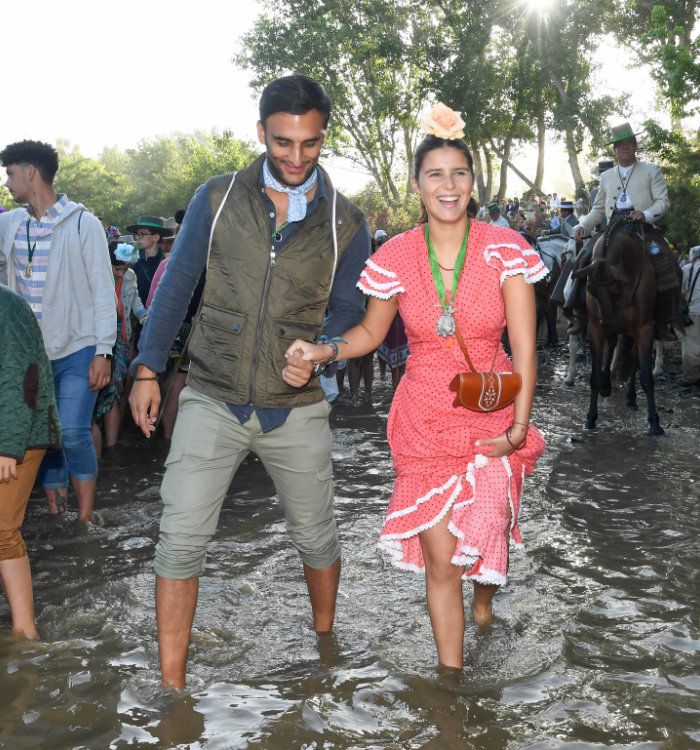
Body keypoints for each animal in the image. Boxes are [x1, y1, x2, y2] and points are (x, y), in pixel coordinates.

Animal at [572, 214, 664, 438]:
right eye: (590, 289)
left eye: (613, 285)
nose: (607, 320)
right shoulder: (595, 329)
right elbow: (595, 376)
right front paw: (590, 418)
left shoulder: (644, 329)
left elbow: (646, 376)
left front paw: (654, 423)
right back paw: (608, 385)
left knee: (634, 360)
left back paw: (631, 397)